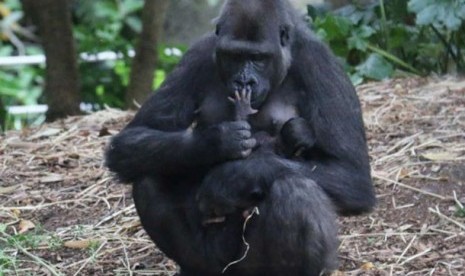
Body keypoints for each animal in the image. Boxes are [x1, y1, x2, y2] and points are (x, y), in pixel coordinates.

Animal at [105, 0, 374, 274]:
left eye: (258, 58)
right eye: (234, 56)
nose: (244, 81)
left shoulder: (320, 63)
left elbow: (352, 174)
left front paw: (230, 178)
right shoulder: (198, 53)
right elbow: (131, 139)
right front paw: (217, 141)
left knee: (296, 191)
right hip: (215, 258)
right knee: (149, 175)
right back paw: (195, 266)